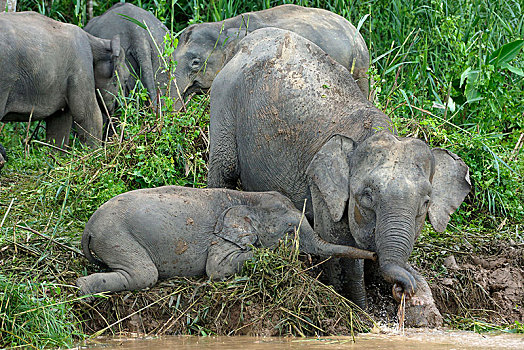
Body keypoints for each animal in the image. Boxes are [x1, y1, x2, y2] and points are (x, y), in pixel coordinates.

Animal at [74, 185, 376, 296]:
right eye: (291, 231)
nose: (374, 255)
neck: (247, 198)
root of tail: (88, 227)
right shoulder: (222, 238)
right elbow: (216, 269)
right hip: (116, 236)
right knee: (144, 274)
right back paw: (81, 287)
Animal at [208, 28, 470, 326]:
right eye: (366, 197)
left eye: (425, 204)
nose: (403, 289)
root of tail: (245, 42)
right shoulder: (321, 187)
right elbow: (338, 245)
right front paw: (358, 309)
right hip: (223, 103)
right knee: (224, 169)